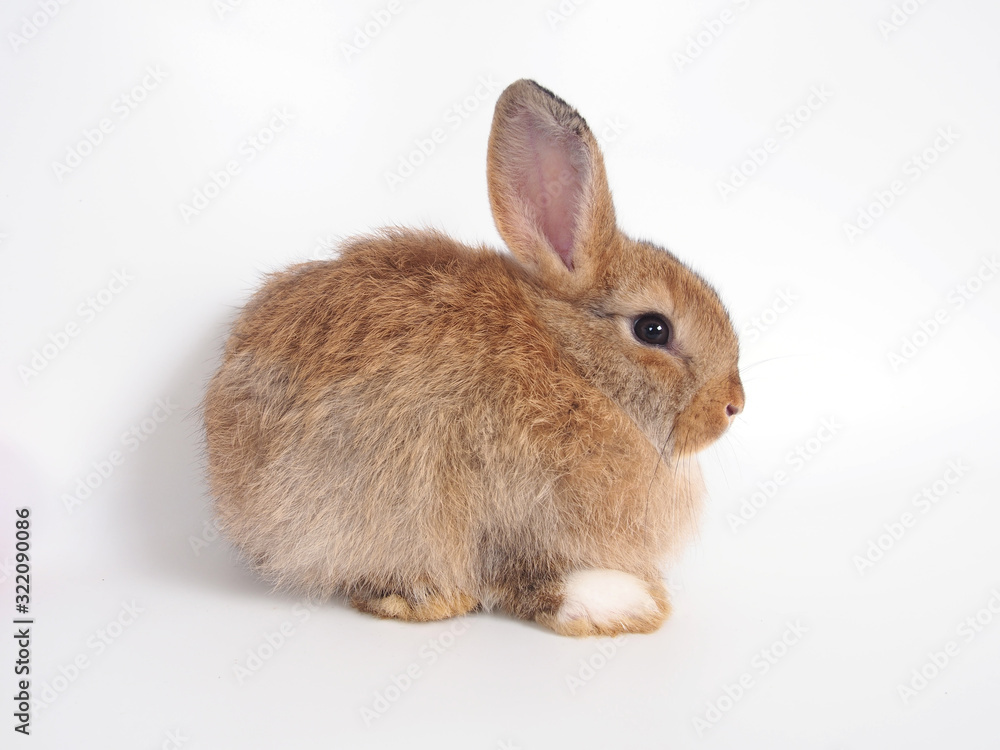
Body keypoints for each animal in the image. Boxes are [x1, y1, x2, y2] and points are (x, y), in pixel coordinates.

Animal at [204, 79, 744, 637]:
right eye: (652, 329)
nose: (733, 405)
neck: (579, 367)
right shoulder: (516, 509)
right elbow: (525, 576)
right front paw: (621, 604)